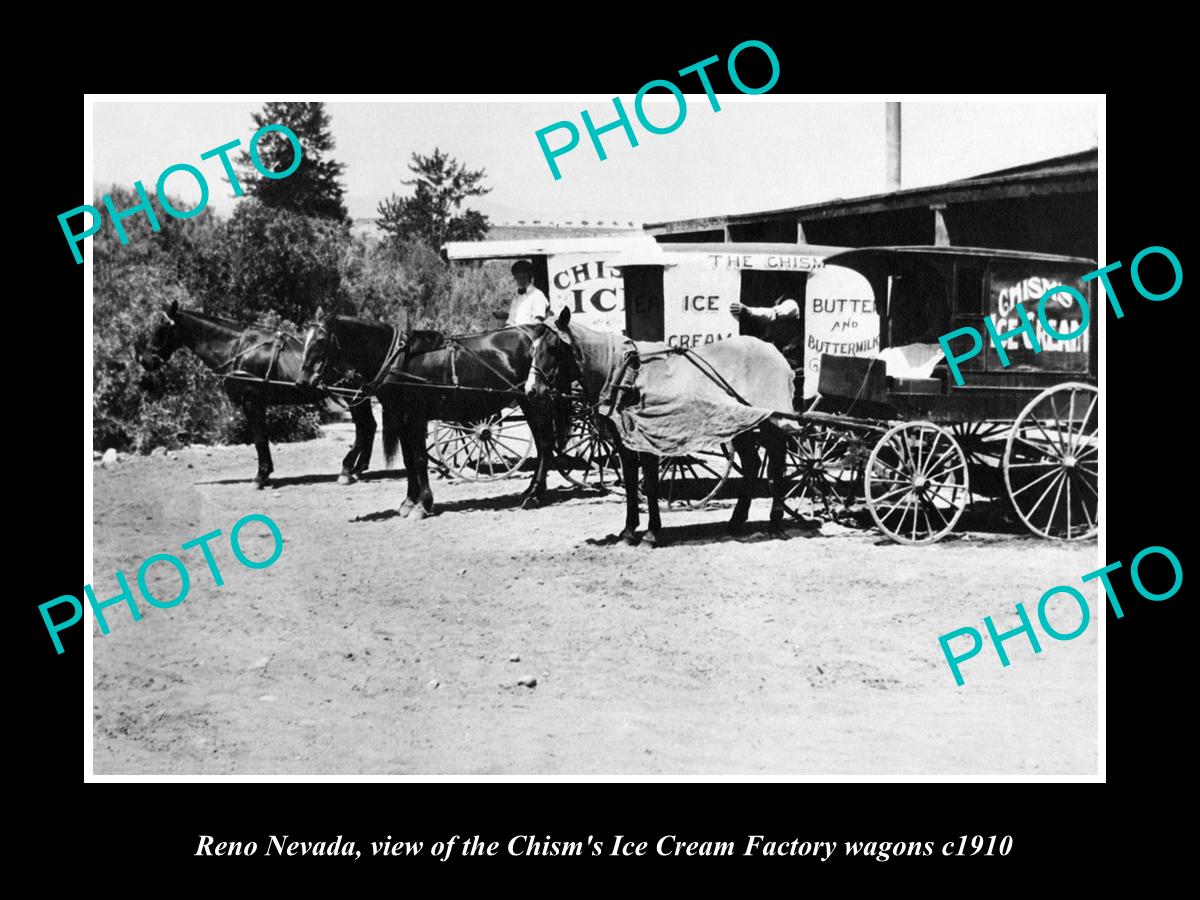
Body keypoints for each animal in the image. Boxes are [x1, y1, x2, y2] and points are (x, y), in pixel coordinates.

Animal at [138, 301, 376, 487]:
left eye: (160, 329)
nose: (144, 360)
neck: (238, 348)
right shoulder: (256, 403)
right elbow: (262, 438)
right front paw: (266, 472)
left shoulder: (252, 401)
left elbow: (259, 438)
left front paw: (261, 476)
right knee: (369, 426)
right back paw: (358, 467)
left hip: (354, 397)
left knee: (364, 428)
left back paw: (348, 469)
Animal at [300, 314, 561, 520]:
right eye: (305, 338)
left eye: (321, 340)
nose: (303, 382)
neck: (399, 360)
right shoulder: (403, 419)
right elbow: (408, 461)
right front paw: (408, 502)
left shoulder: (416, 417)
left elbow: (419, 459)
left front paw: (423, 505)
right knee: (542, 446)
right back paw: (531, 491)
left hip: (534, 401)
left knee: (545, 444)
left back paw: (536, 495)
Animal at [528, 309, 796, 547]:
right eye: (532, 349)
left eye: (553, 348)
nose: (532, 390)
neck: (623, 375)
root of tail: (773, 351)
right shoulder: (624, 443)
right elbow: (630, 482)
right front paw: (628, 532)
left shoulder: (649, 438)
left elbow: (651, 485)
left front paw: (651, 534)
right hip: (739, 423)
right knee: (752, 464)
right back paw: (736, 521)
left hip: (771, 421)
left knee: (777, 460)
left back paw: (775, 522)